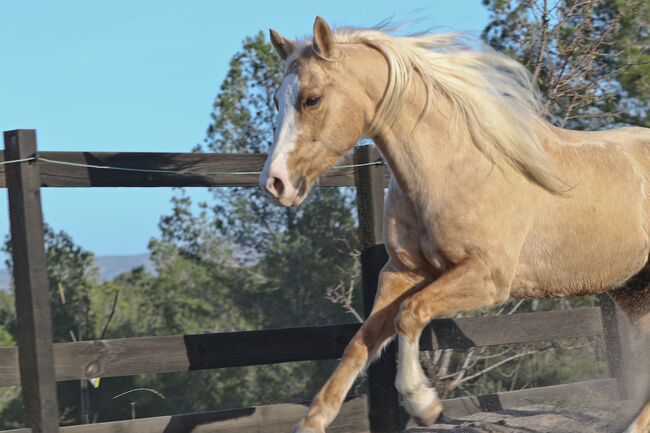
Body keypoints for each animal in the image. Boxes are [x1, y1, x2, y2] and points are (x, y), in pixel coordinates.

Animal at [258, 16, 648, 432]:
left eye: (311, 98)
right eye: (277, 100)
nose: (275, 182)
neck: (453, 168)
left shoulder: (486, 277)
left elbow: (410, 314)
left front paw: (423, 403)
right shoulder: (401, 273)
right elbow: (362, 340)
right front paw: (312, 421)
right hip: (630, 289)